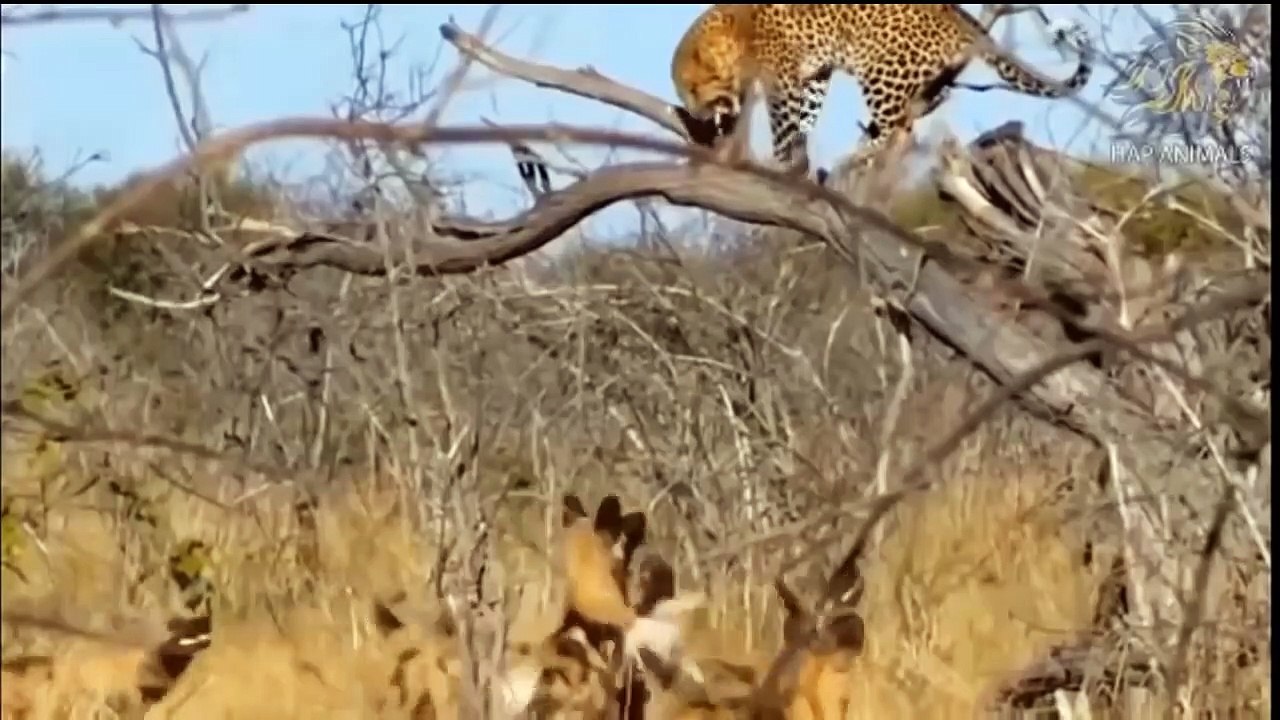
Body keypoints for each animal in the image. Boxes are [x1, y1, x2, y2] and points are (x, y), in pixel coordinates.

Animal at [670, 4, 1095, 176]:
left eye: (692, 87)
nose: (696, 113)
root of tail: (960, 16)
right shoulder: (815, 73)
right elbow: (808, 111)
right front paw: (801, 147)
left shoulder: (783, 77)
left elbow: (783, 121)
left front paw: (782, 159)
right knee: (916, 115)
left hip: (880, 69)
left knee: (896, 130)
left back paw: (858, 155)